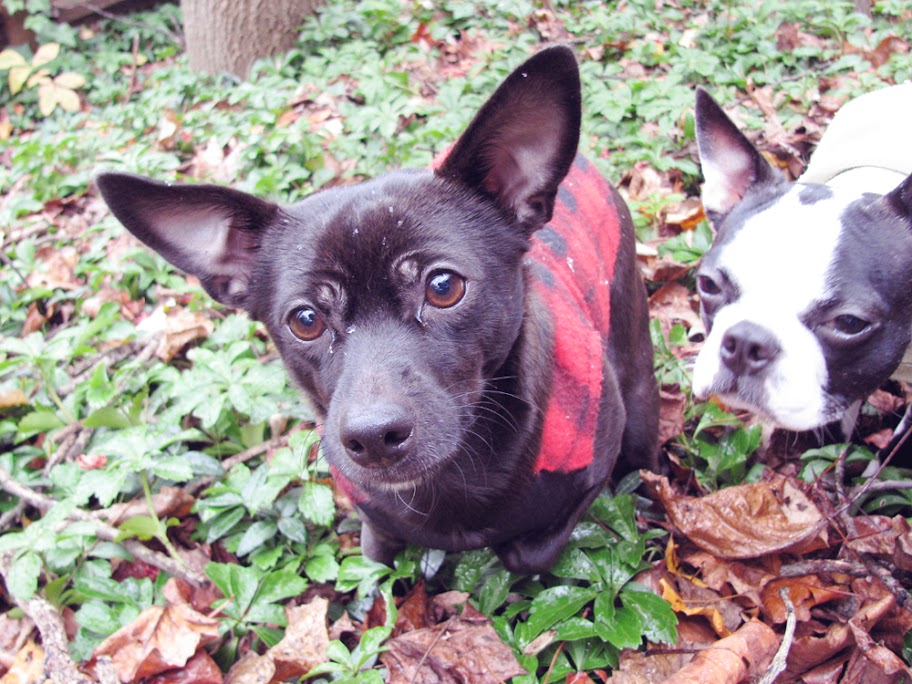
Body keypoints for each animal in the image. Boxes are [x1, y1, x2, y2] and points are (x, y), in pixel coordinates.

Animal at [96, 46, 658, 574]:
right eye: (305, 320)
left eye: (444, 287)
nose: (372, 438)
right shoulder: (369, 509)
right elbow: (377, 549)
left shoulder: (592, 468)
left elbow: (528, 552)